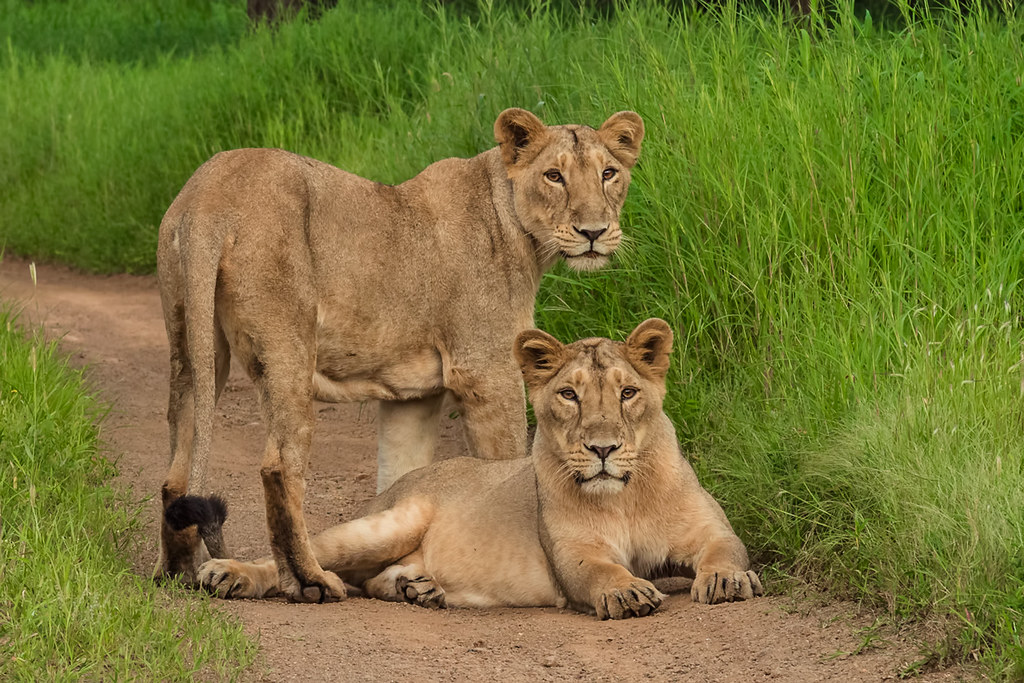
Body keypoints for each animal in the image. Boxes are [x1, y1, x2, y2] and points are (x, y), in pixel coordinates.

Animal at [155, 108, 645, 602]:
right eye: (553, 176)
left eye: (609, 173)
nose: (593, 232)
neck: (513, 221)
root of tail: (208, 197)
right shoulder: (488, 371)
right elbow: (505, 462)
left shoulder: (411, 397)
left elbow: (399, 477)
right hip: (287, 346)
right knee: (278, 467)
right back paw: (311, 580)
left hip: (192, 343)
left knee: (178, 468)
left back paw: (179, 573)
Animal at [194, 319, 764, 618]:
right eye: (569, 395)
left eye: (627, 393)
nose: (602, 448)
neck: (623, 495)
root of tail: (396, 484)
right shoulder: (574, 553)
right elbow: (602, 570)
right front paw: (626, 590)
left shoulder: (710, 530)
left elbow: (727, 550)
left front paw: (727, 581)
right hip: (386, 523)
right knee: (306, 557)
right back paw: (230, 575)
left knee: (371, 578)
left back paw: (419, 590)